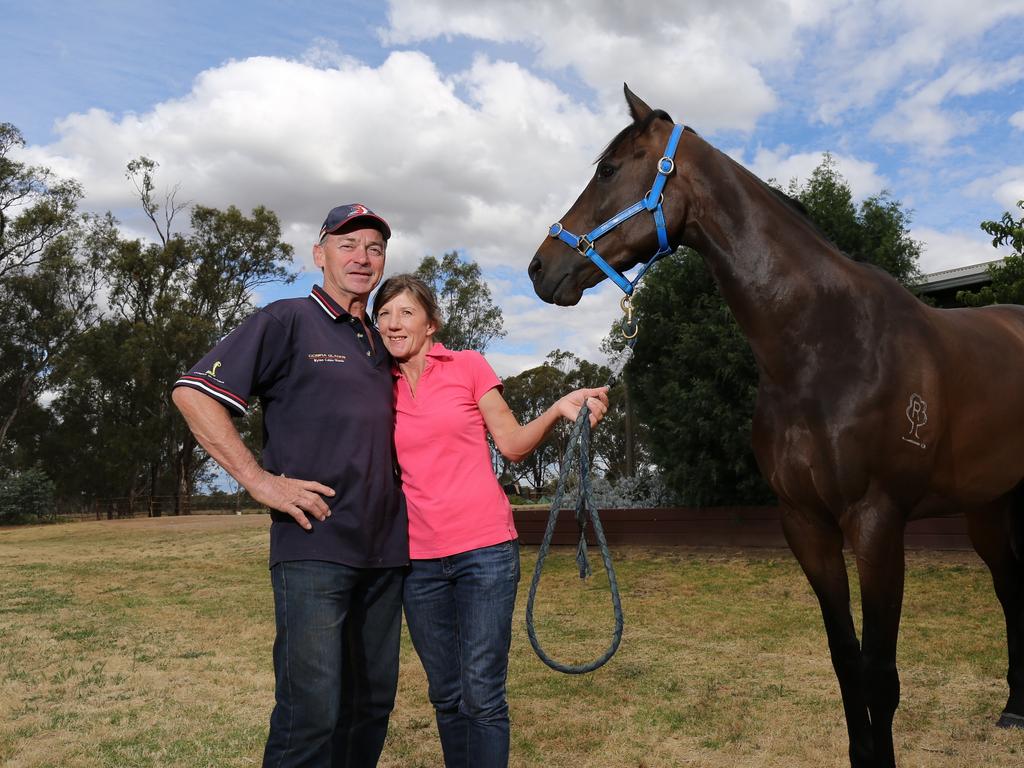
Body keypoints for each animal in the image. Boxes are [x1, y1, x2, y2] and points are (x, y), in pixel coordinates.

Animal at [528, 83, 1024, 768]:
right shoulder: (805, 525)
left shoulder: (876, 524)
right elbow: (845, 663)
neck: (821, 345)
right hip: (988, 506)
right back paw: (1014, 707)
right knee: (1010, 589)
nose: (538, 268)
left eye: (607, 170)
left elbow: (880, 675)